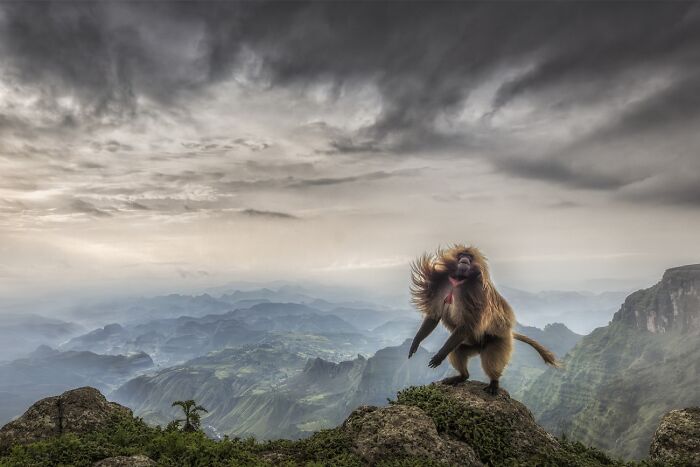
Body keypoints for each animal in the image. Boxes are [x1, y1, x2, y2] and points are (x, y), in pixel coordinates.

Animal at [408, 244, 559, 395]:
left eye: (469, 257)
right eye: (461, 255)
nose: (464, 259)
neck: (458, 279)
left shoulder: (477, 291)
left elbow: (467, 324)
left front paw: (439, 356)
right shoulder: (441, 283)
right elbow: (434, 316)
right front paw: (415, 343)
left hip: (498, 341)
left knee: (491, 359)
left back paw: (494, 383)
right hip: (472, 346)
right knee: (458, 351)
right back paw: (462, 376)